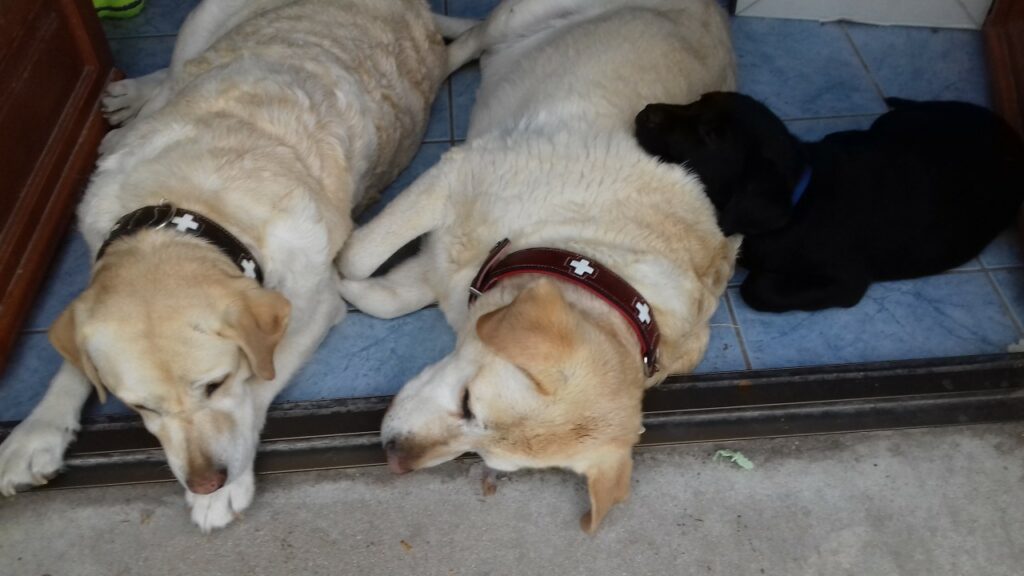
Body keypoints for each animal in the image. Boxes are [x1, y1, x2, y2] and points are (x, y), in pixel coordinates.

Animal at [342, 0, 737, 532]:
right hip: (517, 17)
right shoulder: (457, 173)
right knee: (463, 46)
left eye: (484, 456)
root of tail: (716, 8)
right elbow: (357, 254)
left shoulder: (455, 267)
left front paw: (347, 293)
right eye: (467, 401)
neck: (587, 261)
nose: (394, 458)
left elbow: (386, 294)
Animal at [634, 92, 1019, 311]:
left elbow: (758, 288)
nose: (647, 111)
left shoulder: (846, 282)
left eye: (712, 135)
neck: (800, 199)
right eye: (698, 100)